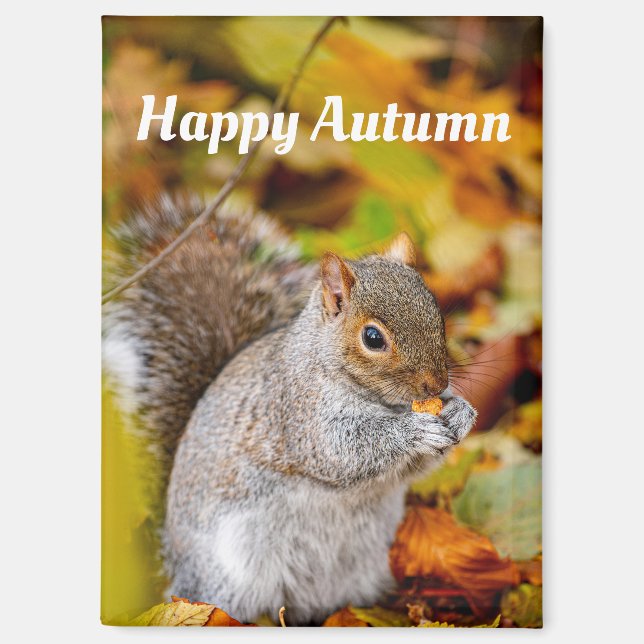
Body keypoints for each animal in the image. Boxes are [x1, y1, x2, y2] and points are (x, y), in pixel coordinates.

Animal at [103, 194, 477, 625]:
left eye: (437, 313)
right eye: (372, 338)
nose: (435, 384)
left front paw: (460, 412)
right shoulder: (298, 412)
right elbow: (343, 450)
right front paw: (415, 430)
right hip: (236, 573)